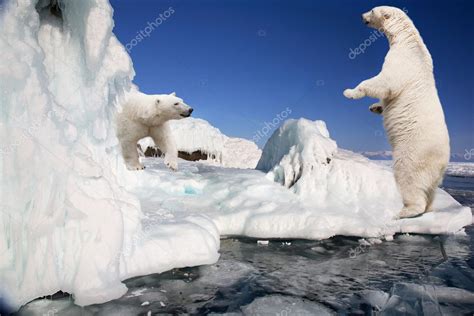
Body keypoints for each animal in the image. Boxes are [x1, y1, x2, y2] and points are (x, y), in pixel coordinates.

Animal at [342, 5, 450, 217]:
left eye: (372, 10)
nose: (361, 15)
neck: (408, 41)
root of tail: (443, 162)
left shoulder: (402, 61)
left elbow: (384, 81)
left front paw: (349, 92)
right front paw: (375, 107)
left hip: (414, 152)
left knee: (407, 176)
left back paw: (405, 211)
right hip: (433, 173)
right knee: (430, 190)